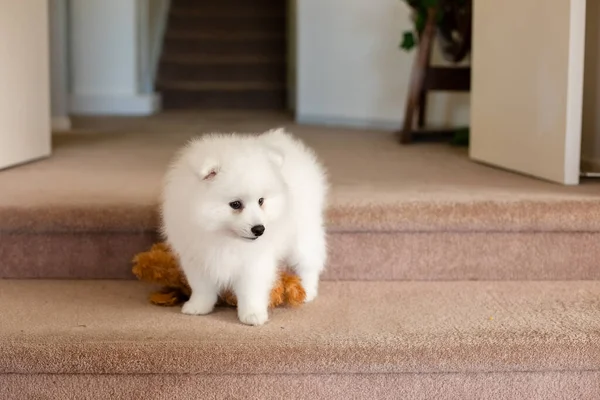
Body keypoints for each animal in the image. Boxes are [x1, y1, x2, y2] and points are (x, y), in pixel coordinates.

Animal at [161, 128, 328, 324]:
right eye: (235, 204)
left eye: (261, 201)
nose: (259, 229)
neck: (224, 237)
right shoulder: (197, 256)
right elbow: (202, 286)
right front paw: (198, 307)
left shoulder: (255, 260)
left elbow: (251, 289)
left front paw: (252, 314)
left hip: (304, 233)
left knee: (308, 264)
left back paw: (307, 291)